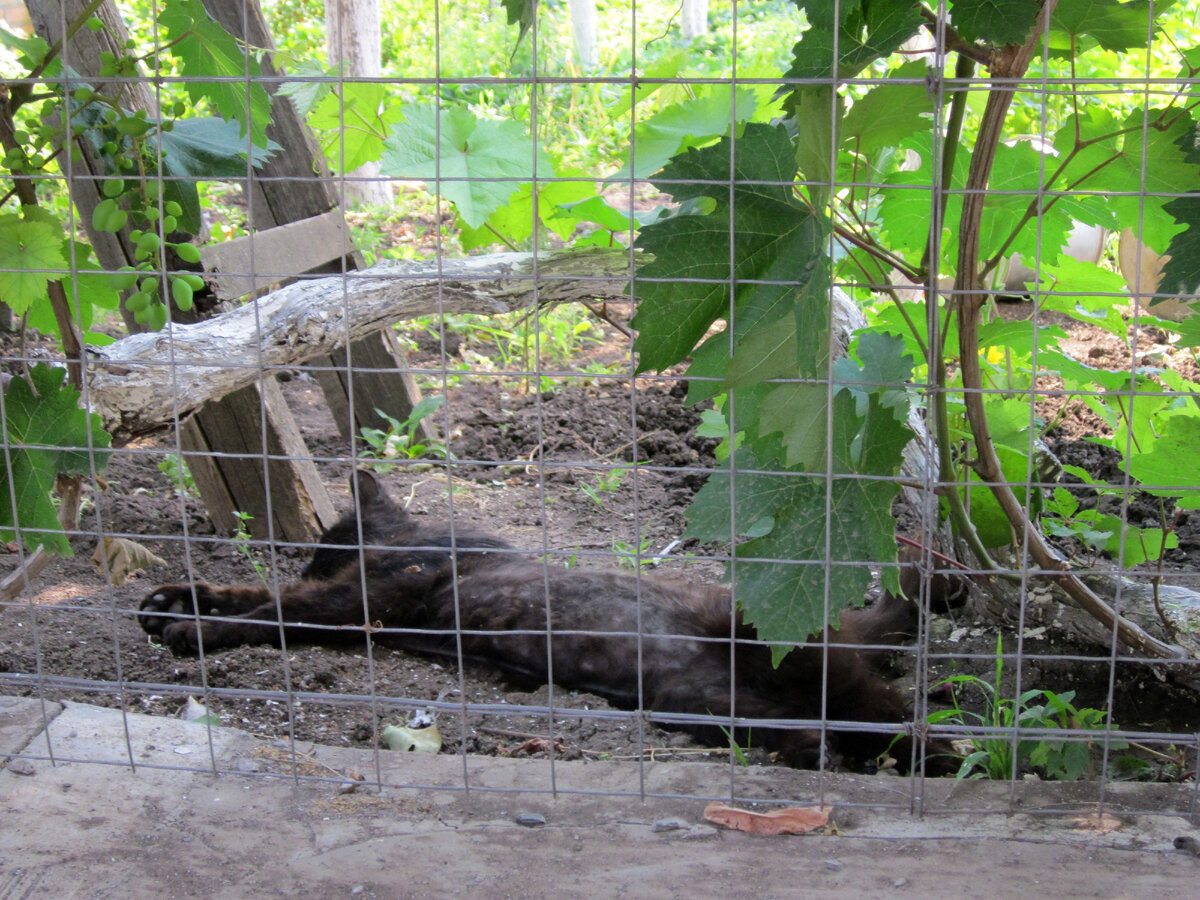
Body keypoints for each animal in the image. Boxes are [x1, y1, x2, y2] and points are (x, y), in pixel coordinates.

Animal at [140, 472, 960, 777]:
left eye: (323, 545)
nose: (313, 561)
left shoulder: (362, 602)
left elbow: (273, 610)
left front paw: (193, 631)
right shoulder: (359, 605)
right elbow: (249, 590)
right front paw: (175, 598)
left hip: (783, 657)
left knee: (887, 710)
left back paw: (936, 752)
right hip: (703, 703)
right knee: (806, 725)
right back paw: (816, 751)